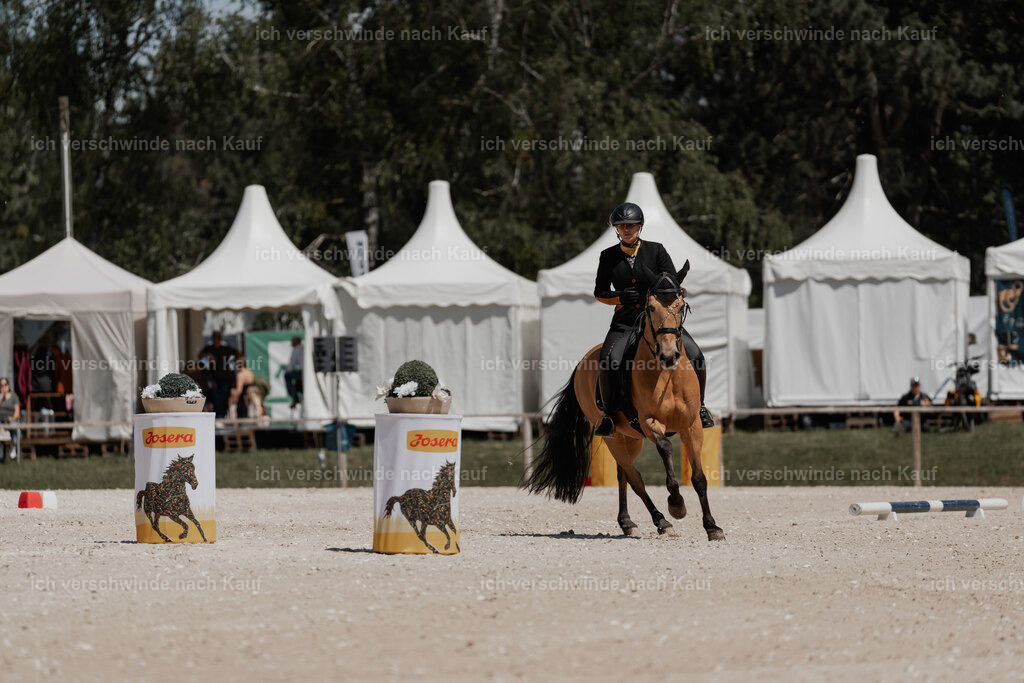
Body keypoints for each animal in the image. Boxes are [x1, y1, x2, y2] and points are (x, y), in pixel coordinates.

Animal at [523, 270, 725, 541]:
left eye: (681, 306)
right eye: (650, 307)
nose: (668, 355)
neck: (667, 375)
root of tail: (584, 360)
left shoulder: (691, 426)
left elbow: (700, 478)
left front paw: (712, 527)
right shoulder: (649, 422)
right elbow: (665, 448)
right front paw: (676, 504)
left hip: (631, 437)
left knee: (623, 475)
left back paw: (627, 522)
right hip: (614, 437)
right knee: (635, 478)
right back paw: (662, 521)